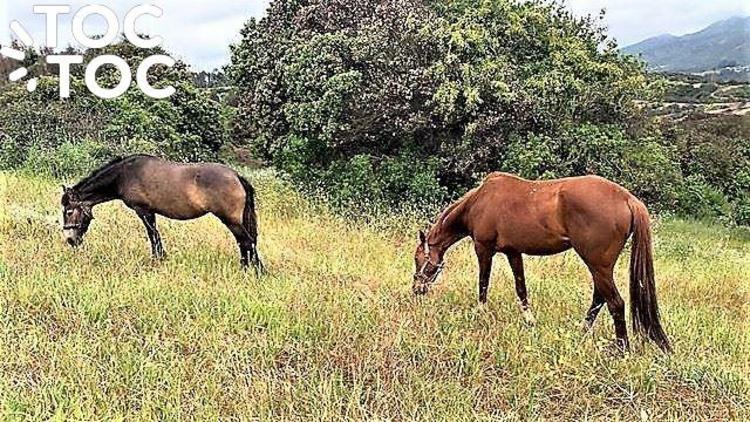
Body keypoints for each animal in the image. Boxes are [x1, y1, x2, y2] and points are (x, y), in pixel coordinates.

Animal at [63, 155, 266, 274]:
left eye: (69, 211)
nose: (70, 240)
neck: (125, 174)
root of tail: (236, 176)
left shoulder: (143, 211)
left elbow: (153, 235)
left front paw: (157, 259)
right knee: (245, 243)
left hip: (231, 220)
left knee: (247, 242)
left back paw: (254, 271)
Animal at [414, 172, 672, 352]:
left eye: (418, 259)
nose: (417, 289)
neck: (479, 201)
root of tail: (627, 198)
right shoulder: (513, 252)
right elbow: (521, 287)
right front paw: (529, 320)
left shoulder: (483, 249)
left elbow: (483, 284)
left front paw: (480, 314)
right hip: (600, 267)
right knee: (600, 299)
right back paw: (581, 332)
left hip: (598, 265)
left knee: (615, 303)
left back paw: (621, 348)